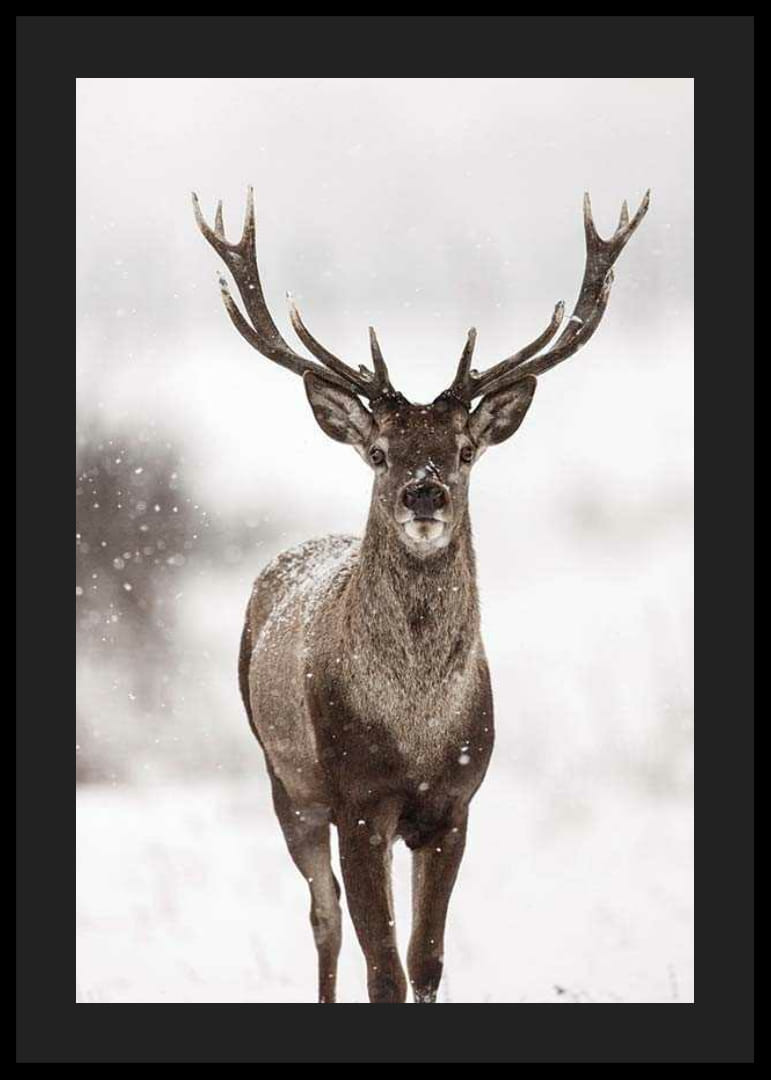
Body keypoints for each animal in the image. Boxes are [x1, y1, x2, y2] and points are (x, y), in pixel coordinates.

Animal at [192, 186, 649, 1003]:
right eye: (379, 452)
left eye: (464, 450)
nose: (424, 492)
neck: (415, 728)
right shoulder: (356, 800)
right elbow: (383, 968)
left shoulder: (455, 803)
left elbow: (426, 959)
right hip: (284, 777)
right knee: (324, 918)